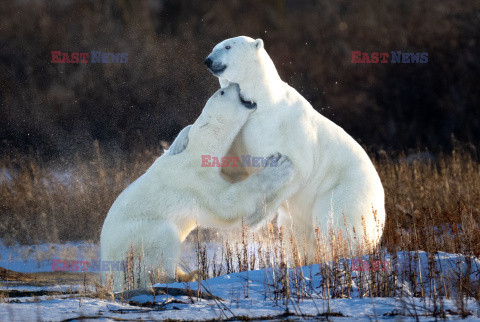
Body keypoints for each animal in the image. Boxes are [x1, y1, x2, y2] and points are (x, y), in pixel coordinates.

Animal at [100, 84, 292, 290]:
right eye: (222, 92)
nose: (234, 84)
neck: (200, 149)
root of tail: (109, 279)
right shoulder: (193, 178)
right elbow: (226, 204)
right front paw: (280, 165)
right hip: (136, 242)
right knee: (162, 240)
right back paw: (179, 277)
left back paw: (192, 273)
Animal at [205, 35, 386, 256]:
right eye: (214, 47)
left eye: (228, 47)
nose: (208, 60)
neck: (262, 103)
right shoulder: (244, 131)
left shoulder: (290, 130)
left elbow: (297, 170)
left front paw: (254, 219)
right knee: (296, 234)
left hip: (345, 192)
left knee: (334, 221)